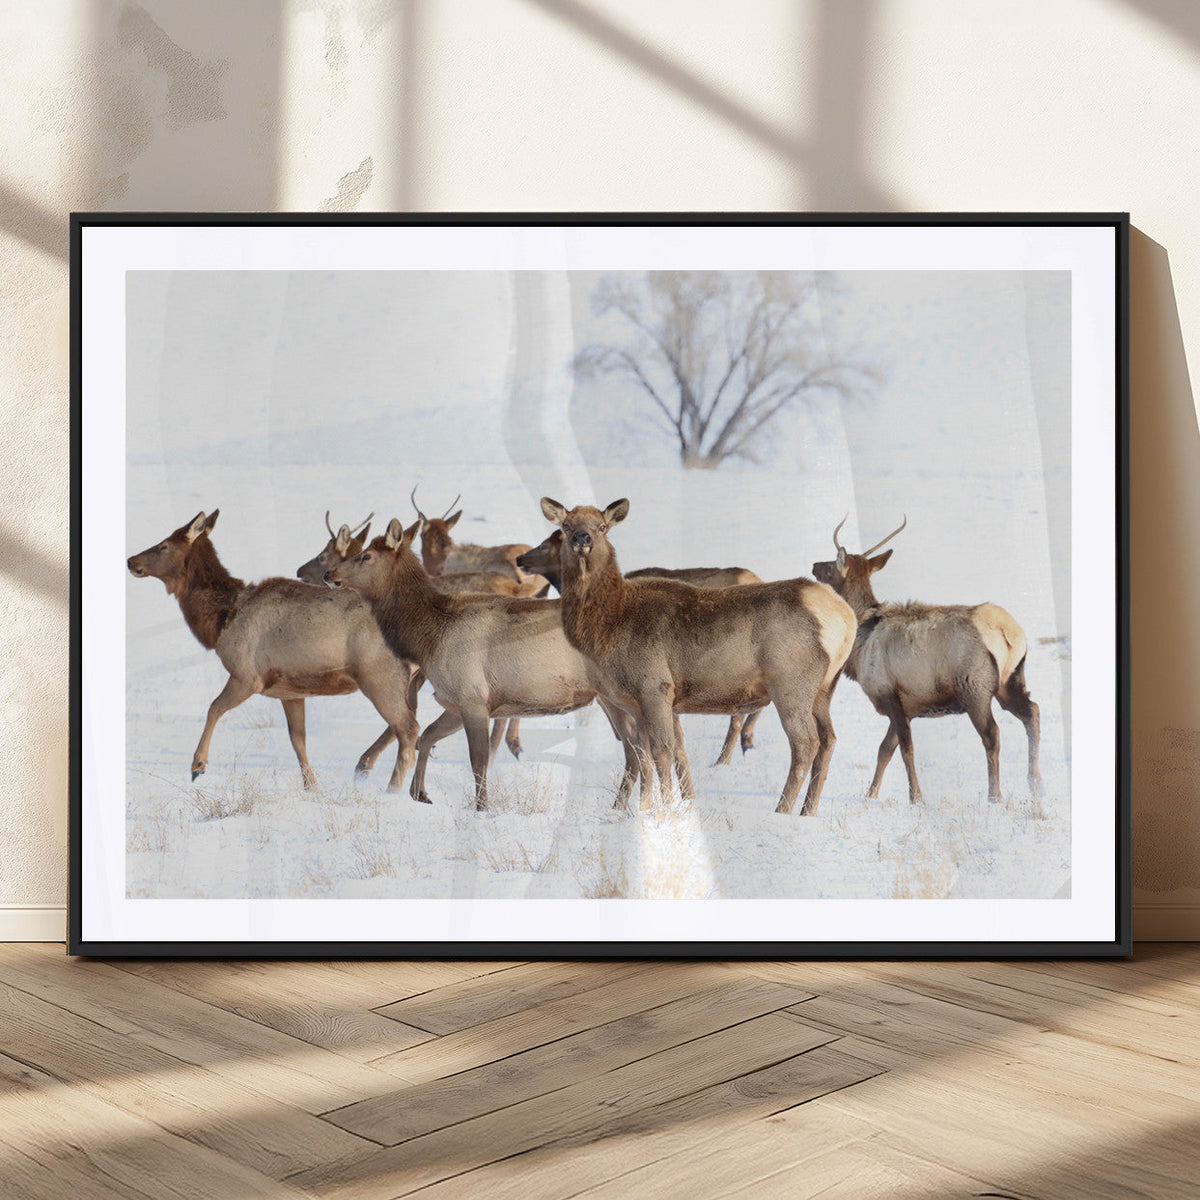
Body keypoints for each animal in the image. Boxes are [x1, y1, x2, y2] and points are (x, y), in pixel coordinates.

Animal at [128, 510, 420, 794]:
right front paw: (311, 787)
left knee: (408, 728)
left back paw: (392, 789)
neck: (221, 621)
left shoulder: (247, 675)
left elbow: (214, 708)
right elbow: (297, 739)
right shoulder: (290, 691)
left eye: (164, 545)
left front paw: (197, 765)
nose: (131, 560)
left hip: (379, 675)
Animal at [324, 519, 693, 812]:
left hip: (628, 692)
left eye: (365, 556)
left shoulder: (472, 696)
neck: (429, 635)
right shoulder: (457, 701)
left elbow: (478, 759)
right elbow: (426, 737)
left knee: (648, 747)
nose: (329, 574)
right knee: (641, 749)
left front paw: (482, 808)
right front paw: (420, 793)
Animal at [811, 516, 1043, 804]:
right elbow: (884, 750)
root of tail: (1007, 632)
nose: (814, 566)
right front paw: (871, 794)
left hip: (974, 686)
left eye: (831, 566)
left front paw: (916, 797)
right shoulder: (908, 706)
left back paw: (995, 795)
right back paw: (1036, 784)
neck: (861, 640)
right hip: (1010, 680)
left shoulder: (889, 693)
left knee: (992, 734)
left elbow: (906, 749)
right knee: (1032, 711)